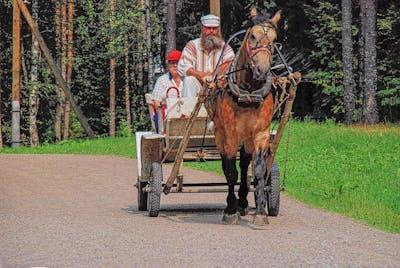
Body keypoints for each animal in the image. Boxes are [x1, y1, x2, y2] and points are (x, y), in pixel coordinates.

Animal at [209, 9, 282, 224]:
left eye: (274, 39)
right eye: (252, 36)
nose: (262, 70)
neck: (248, 92)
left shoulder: (260, 134)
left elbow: (258, 171)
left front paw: (260, 212)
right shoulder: (231, 134)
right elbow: (230, 172)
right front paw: (230, 210)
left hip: (248, 138)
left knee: (245, 162)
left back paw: (243, 202)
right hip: (220, 134)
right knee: (227, 164)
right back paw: (233, 204)